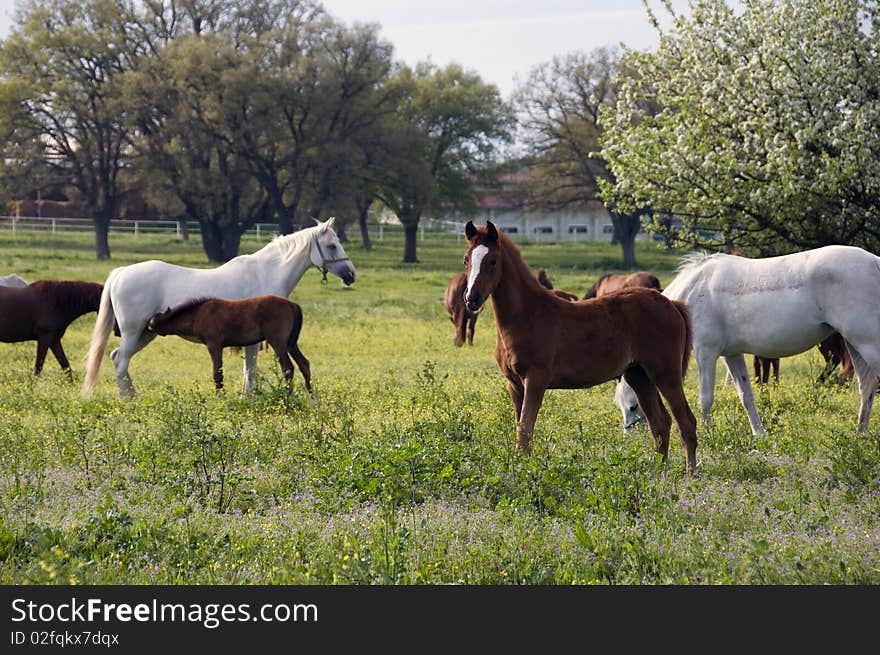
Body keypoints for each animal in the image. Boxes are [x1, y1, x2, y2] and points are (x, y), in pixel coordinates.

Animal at [81, 218, 356, 398]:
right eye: (332, 245)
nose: (351, 275)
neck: (265, 272)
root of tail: (120, 273)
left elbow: (249, 369)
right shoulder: (257, 340)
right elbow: (250, 369)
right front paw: (247, 396)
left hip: (146, 333)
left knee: (117, 357)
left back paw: (132, 395)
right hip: (133, 331)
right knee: (121, 362)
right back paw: (126, 399)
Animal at [464, 223, 696, 474]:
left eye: (492, 261)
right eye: (466, 260)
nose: (471, 298)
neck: (527, 315)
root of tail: (670, 303)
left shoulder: (535, 380)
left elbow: (525, 432)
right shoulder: (514, 385)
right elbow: (521, 429)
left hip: (666, 374)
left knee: (686, 422)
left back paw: (690, 476)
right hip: (639, 375)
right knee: (660, 423)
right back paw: (659, 474)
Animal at [616, 246, 880, 436]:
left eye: (632, 406)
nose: (630, 438)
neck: (692, 295)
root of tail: (875, 263)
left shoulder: (705, 353)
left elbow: (706, 398)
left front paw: (708, 434)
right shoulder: (731, 355)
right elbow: (746, 396)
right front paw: (759, 433)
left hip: (867, 343)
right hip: (854, 344)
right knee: (866, 387)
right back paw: (860, 433)